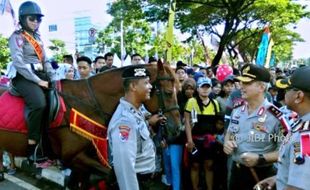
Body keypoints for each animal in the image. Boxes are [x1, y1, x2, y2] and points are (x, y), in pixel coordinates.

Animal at [0, 61, 182, 189]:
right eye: (167, 92)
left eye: (178, 91)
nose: (178, 128)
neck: (88, 103)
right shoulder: (73, 156)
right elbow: (111, 175)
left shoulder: (85, 157)